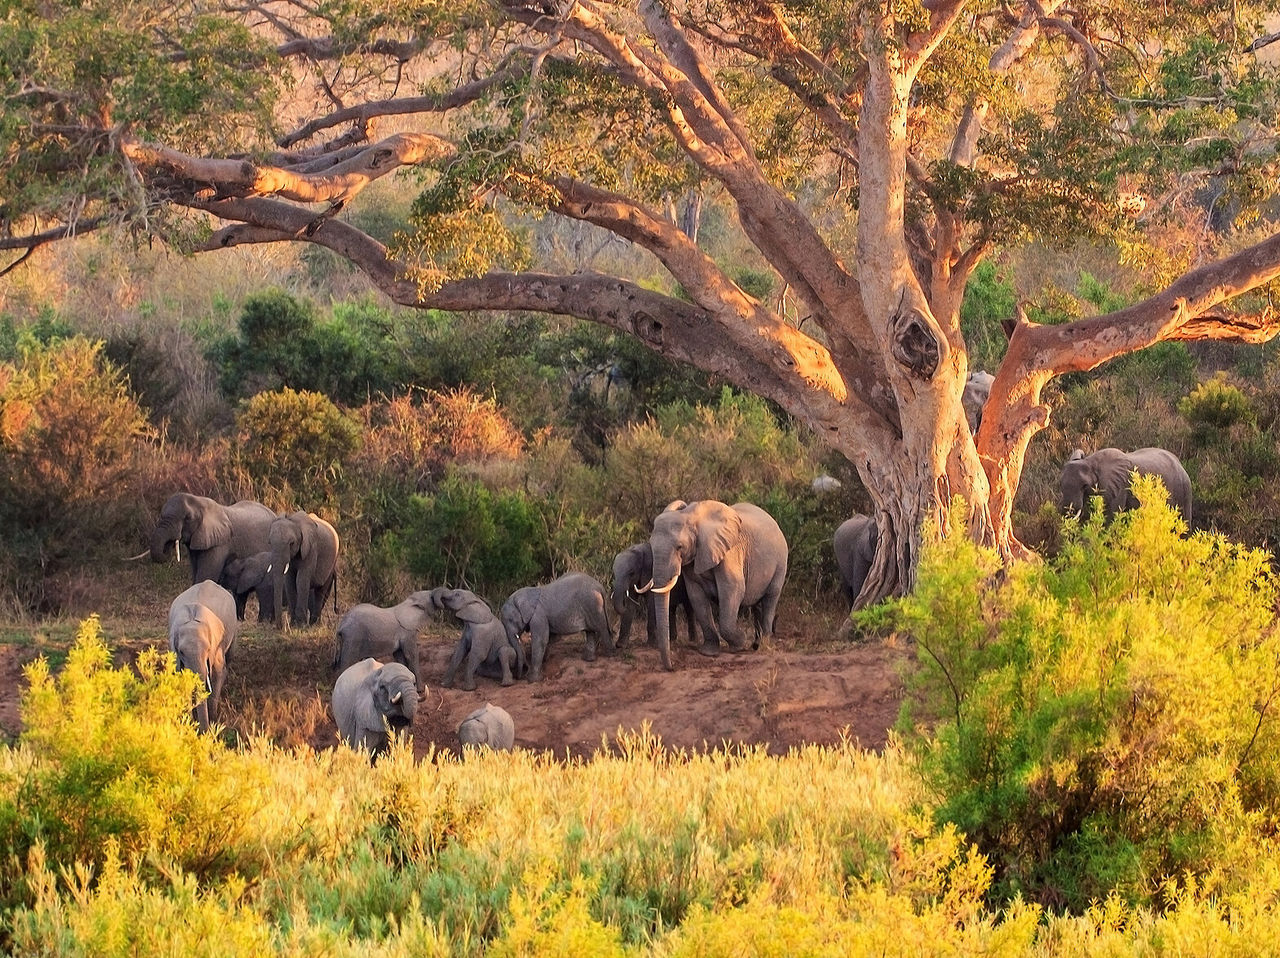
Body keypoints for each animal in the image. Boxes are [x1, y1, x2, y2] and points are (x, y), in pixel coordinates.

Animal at [168, 580, 239, 732]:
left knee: (229, 657)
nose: (203, 732)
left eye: (208, 650)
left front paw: (213, 721)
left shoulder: (216, 647)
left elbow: (218, 672)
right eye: (181, 652)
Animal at [639, 499, 788, 670]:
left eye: (679, 547)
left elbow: (733, 589)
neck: (691, 517)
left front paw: (740, 644)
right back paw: (755, 645)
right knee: (757, 604)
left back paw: (763, 644)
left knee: (770, 598)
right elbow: (696, 596)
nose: (673, 667)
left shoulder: (730, 552)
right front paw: (708, 652)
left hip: (781, 562)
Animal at [1059, 447, 1192, 523]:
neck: (1091, 462)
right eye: (1060, 486)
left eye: (1084, 486)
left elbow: (1110, 518)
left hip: (1184, 491)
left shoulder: (1119, 487)